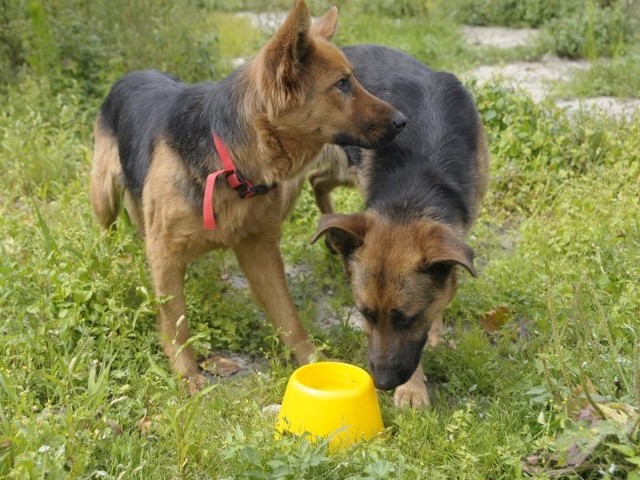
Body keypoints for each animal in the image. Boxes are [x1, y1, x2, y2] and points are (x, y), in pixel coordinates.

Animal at [90, 0, 404, 394]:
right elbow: (177, 322)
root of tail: (129, 75)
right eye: (342, 84)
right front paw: (187, 374)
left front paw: (313, 361)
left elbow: (289, 316)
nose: (403, 121)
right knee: (107, 231)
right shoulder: (166, 255)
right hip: (103, 196)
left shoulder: (261, 252)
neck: (231, 163)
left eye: (353, 80)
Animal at [308, 45, 484, 406]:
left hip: (347, 168)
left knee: (318, 180)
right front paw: (413, 389)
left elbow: (444, 291)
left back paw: (335, 241)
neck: (416, 189)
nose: (382, 383)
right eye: (365, 314)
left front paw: (436, 333)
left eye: (407, 319)